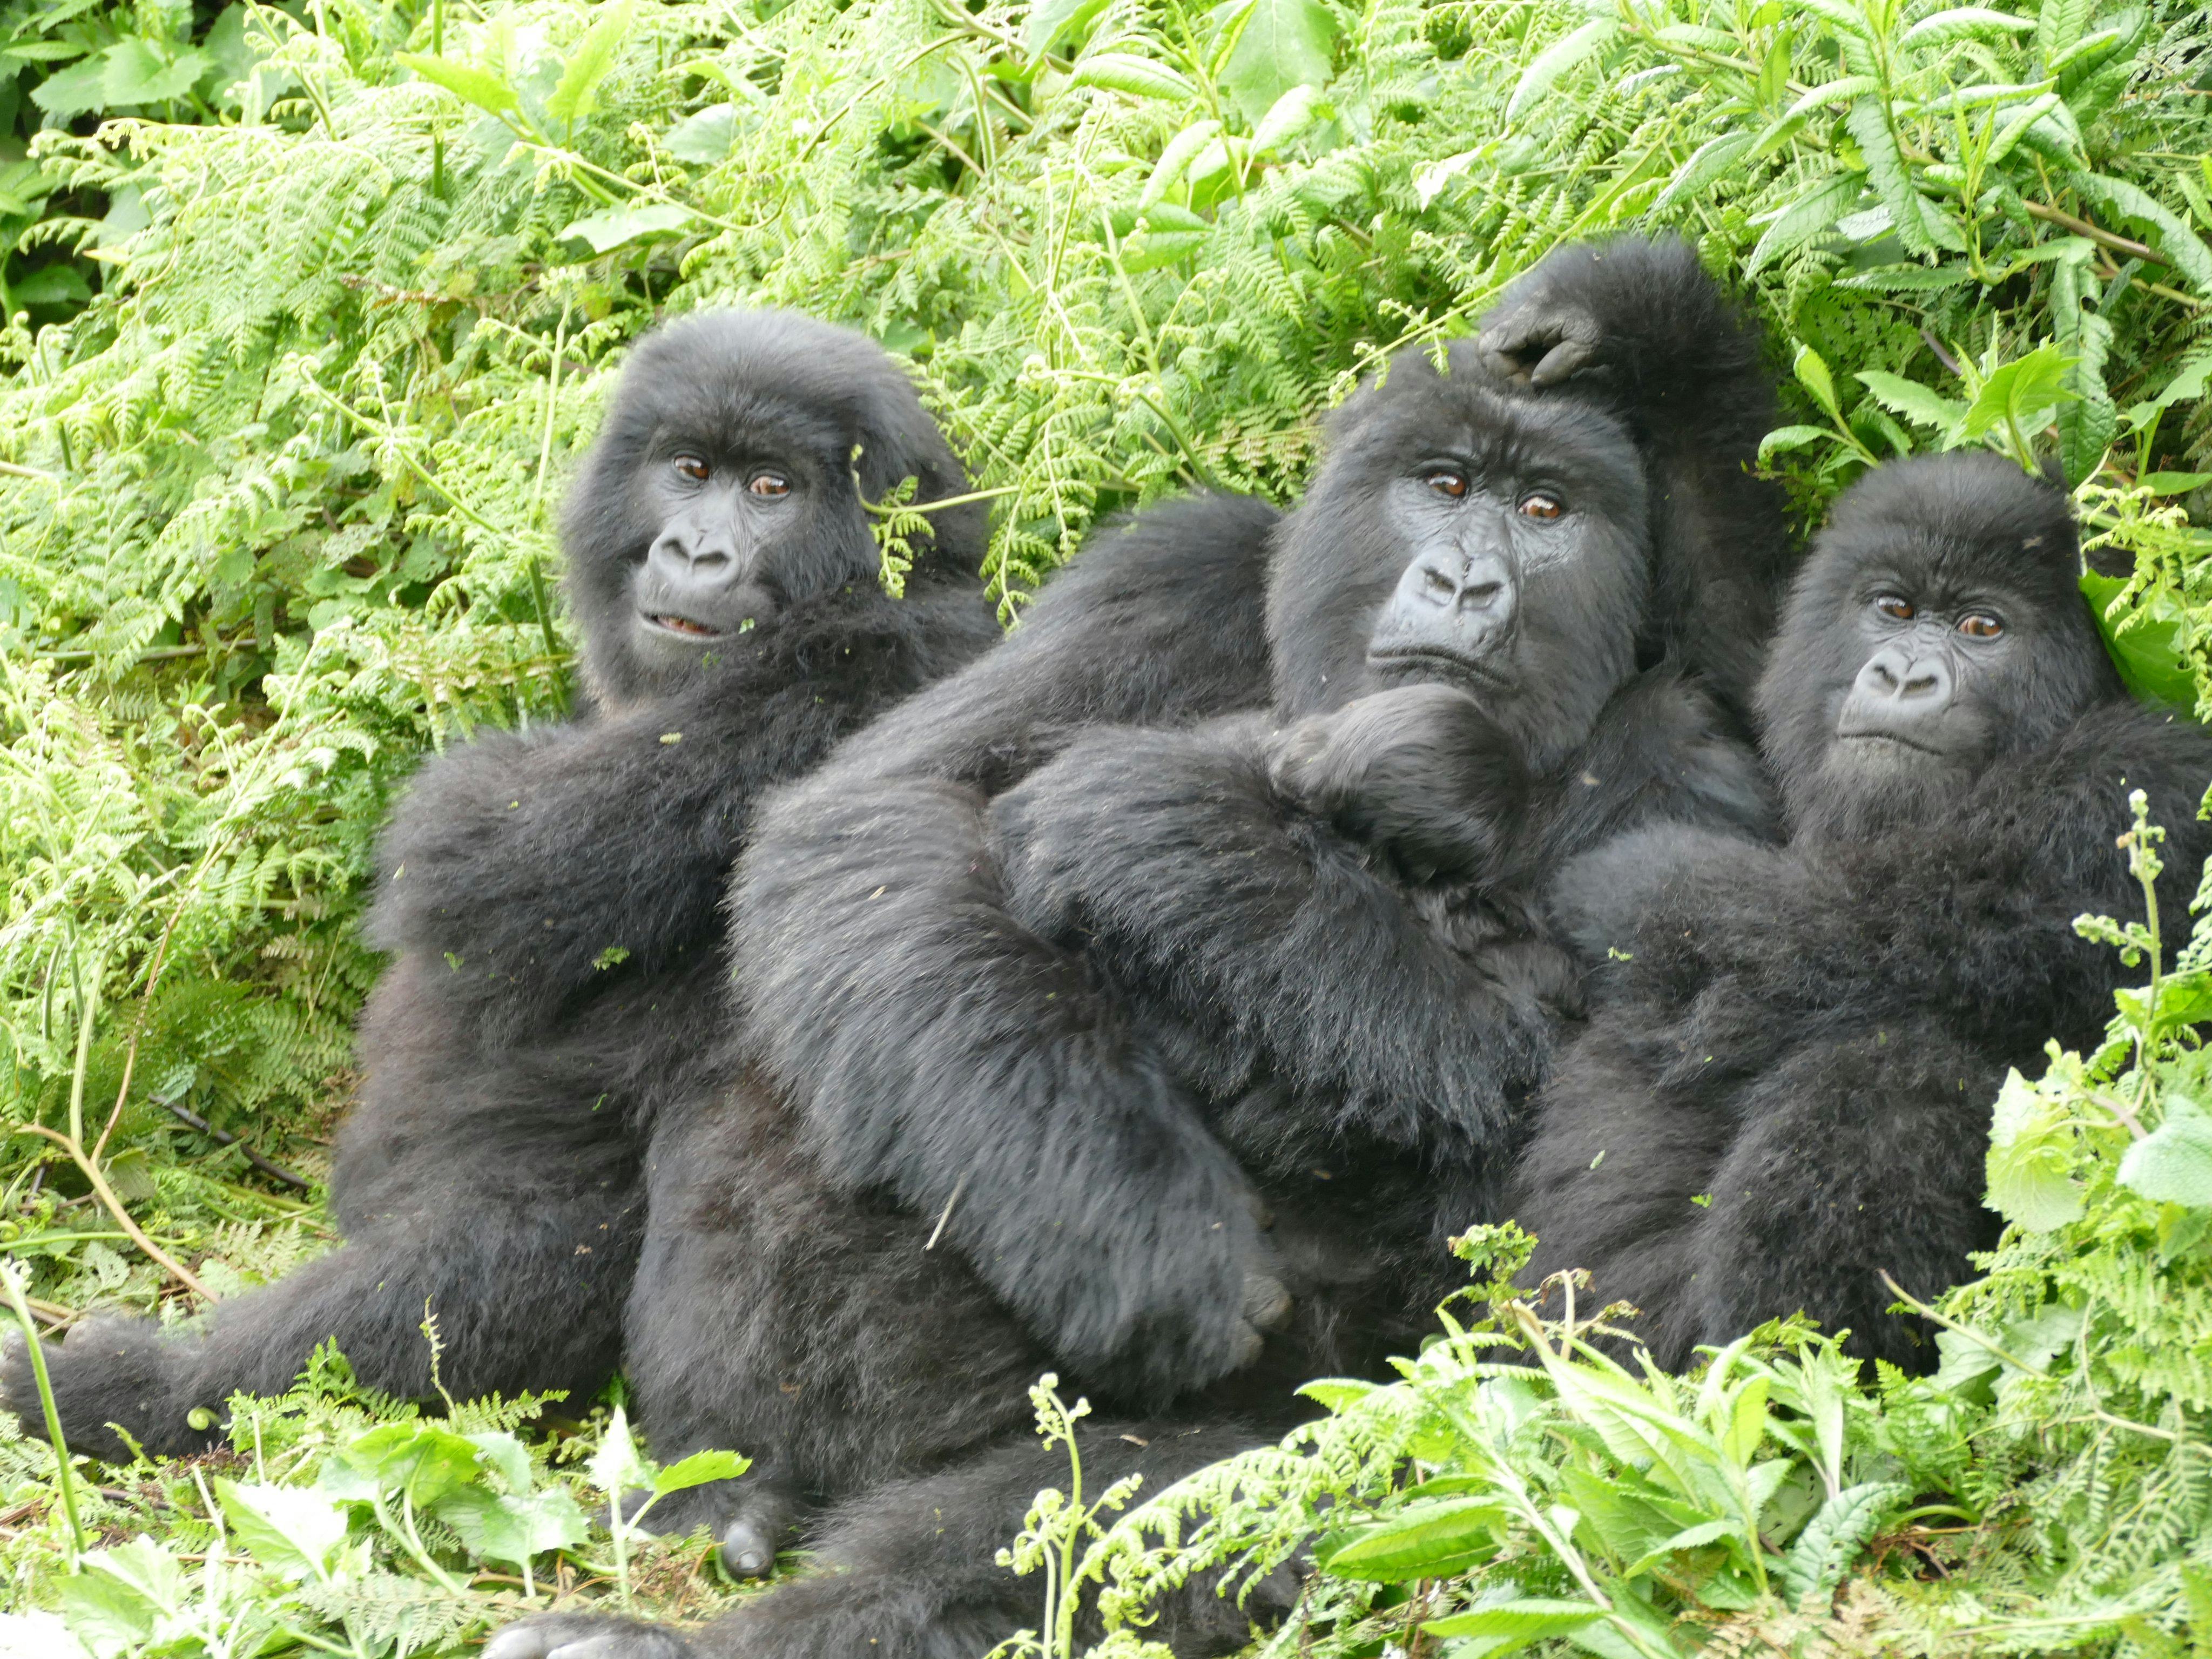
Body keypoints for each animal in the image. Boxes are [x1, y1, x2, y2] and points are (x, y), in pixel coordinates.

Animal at [2, 312, 1004, 1468]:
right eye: (690, 471)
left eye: (773, 489)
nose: (695, 552)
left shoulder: (847, 674)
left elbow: (472, 862)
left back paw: (140, 1390)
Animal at [484, 234, 1796, 1659]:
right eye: (1443, 487)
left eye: (1547, 513)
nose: (1465, 585)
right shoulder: (1181, 564)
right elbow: (881, 814)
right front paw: (1127, 1230)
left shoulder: (1687, 747)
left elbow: (1571, 1178)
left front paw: (1164, 827)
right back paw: (737, 1483)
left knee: (1145, 1497)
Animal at [1513, 455, 2212, 1380]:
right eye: (1896, 610)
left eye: (1983, 627)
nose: (1903, 677)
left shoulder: (2143, 780)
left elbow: (1832, 930)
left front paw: (1619, 881)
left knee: (1887, 1059)